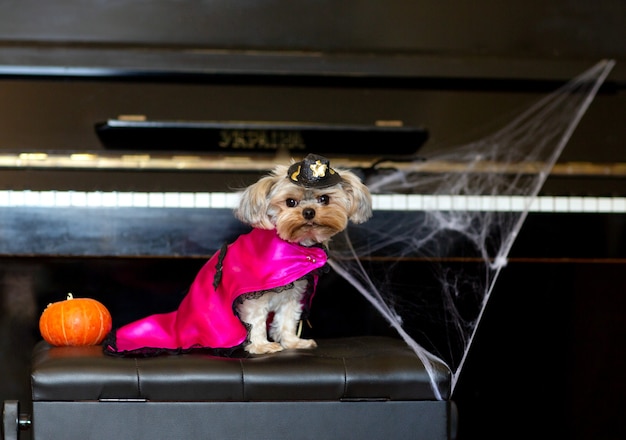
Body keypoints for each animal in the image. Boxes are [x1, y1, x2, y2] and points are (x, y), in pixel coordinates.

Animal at [233, 155, 370, 354]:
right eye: (290, 202)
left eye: (324, 199)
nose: (309, 212)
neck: (295, 248)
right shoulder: (254, 298)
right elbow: (255, 321)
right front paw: (261, 346)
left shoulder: (293, 294)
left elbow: (287, 319)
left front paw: (293, 342)